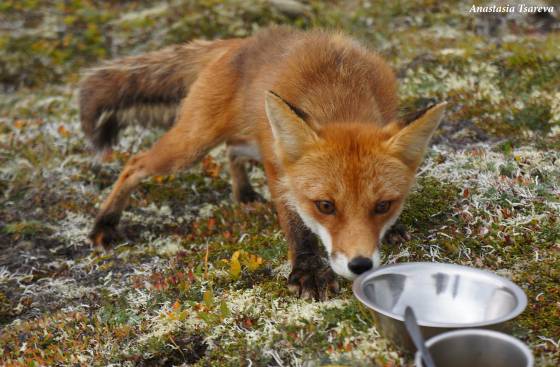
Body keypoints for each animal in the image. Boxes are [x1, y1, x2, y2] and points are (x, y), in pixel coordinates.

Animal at [80, 26, 446, 302]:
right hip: (191, 145)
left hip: (250, 139)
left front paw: (393, 229)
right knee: (135, 163)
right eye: (325, 206)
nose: (360, 265)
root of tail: (241, 41)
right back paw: (105, 223)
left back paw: (243, 193)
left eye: (383, 205)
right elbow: (297, 228)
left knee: (232, 151)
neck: (337, 90)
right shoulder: (280, 171)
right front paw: (308, 272)